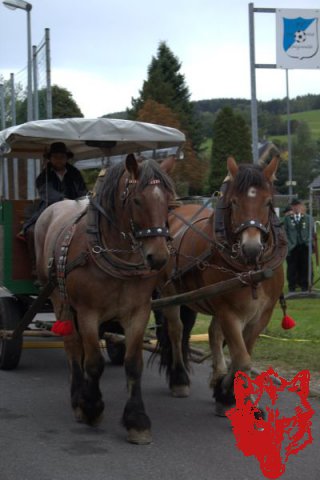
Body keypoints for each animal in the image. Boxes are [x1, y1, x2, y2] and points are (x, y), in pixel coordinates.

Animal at [33, 154, 175, 442]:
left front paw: (137, 420)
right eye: (137, 200)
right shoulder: (88, 311)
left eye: (168, 200)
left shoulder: (139, 311)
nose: (158, 257)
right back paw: (77, 397)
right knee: (73, 346)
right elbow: (94, 362)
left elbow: (133, 363)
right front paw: (91, 406)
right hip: (59, 299)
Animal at [157, 157, 288, 416]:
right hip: (170, 294)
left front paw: (232, 393)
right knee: (176, 330)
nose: (251, 248)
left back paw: (217, 375)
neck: (252, 268)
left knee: (213, 333)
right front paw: (226, 393)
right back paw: (179, 379)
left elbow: (243, 356)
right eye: (234, 202)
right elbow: (242, 360)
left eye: (268, 202)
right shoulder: (229, 312)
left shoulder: (261, 315)